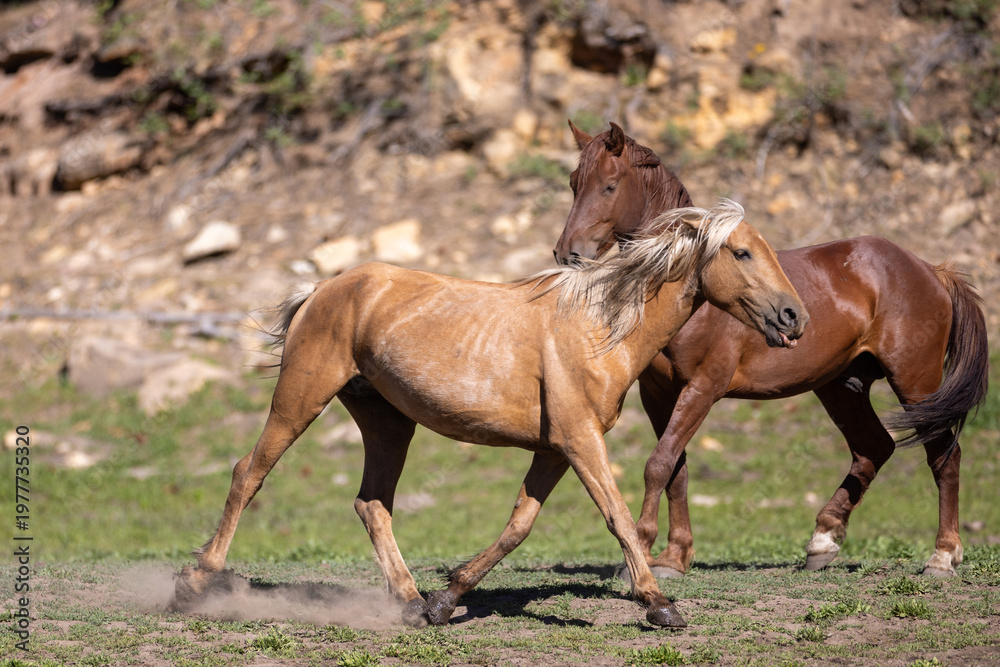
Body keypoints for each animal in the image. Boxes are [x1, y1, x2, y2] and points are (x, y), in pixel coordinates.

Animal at [173, 200, 807, 629]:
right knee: (249, 474)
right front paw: (659, 604)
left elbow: (519, 526)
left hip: (387, 422)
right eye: (742, 252)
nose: (794, 316)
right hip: (301, 397)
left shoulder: (554, 449)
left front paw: (446, 599)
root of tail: (322, 290)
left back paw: (409, 602)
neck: (597, 329)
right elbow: (619, 517)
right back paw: (193, 586)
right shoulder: (580, 441)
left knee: (372, 504)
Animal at [554, 121, 989, 579]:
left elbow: (658, 464)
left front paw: (642, 550)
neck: (696, 297)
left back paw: (943, 555)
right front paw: (674, 556)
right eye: (573, 183)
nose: (567, 253)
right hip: (842, 387)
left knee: (944, 456)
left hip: (916, 383)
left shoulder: (703, 388)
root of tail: (931, 270)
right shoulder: (658, 394)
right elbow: (676, 469)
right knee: (874, 449)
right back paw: (823, 540)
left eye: (609, 185)